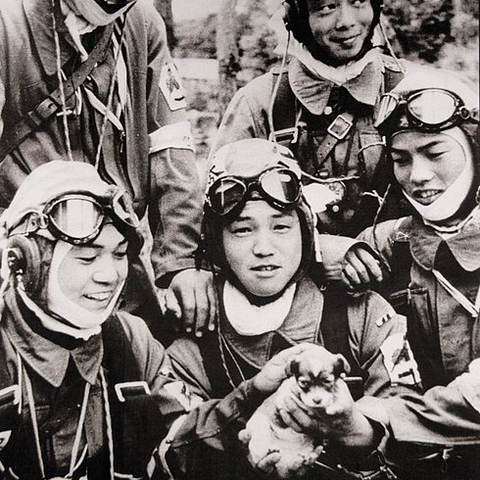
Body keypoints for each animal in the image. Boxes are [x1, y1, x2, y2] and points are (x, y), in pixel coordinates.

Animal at [244, 346, 348, 478]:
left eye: (327, 381)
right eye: (304, 383)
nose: (317, 400)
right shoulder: (283, 403)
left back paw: (303, 458)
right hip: (259, 424)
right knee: (258, 448)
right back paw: (269, 449)